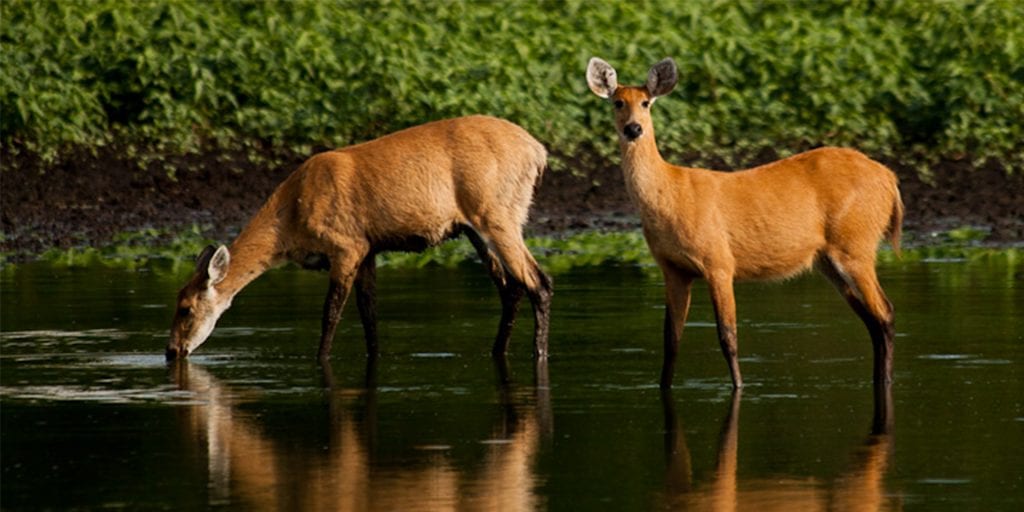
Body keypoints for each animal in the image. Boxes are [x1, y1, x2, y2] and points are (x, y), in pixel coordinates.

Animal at [166, 116, 552, 364]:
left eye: (185, 308)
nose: (171, 352)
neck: (289, 221)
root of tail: (538, 151)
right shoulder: (369, 248)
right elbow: (369, 313)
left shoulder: (347, 245)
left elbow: (331, 313)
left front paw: (320, 360)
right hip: (476, 228)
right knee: (511, 288)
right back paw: (498, 351)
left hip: (497, 213)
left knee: (539, 282)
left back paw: (539, 354)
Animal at [589, 57, 901, 387]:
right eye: (618, 102)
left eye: (646, 102)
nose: (633, 128)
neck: (671, 196)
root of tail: (889, 178)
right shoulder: (673, 269)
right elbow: (671, 340)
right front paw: (663, 385)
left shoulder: (719, 261)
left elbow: (728, 336)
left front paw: (739, 387)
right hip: (829, 259)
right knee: (872, 318)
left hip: (855, 243)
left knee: (885, 312)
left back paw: (886, 381)